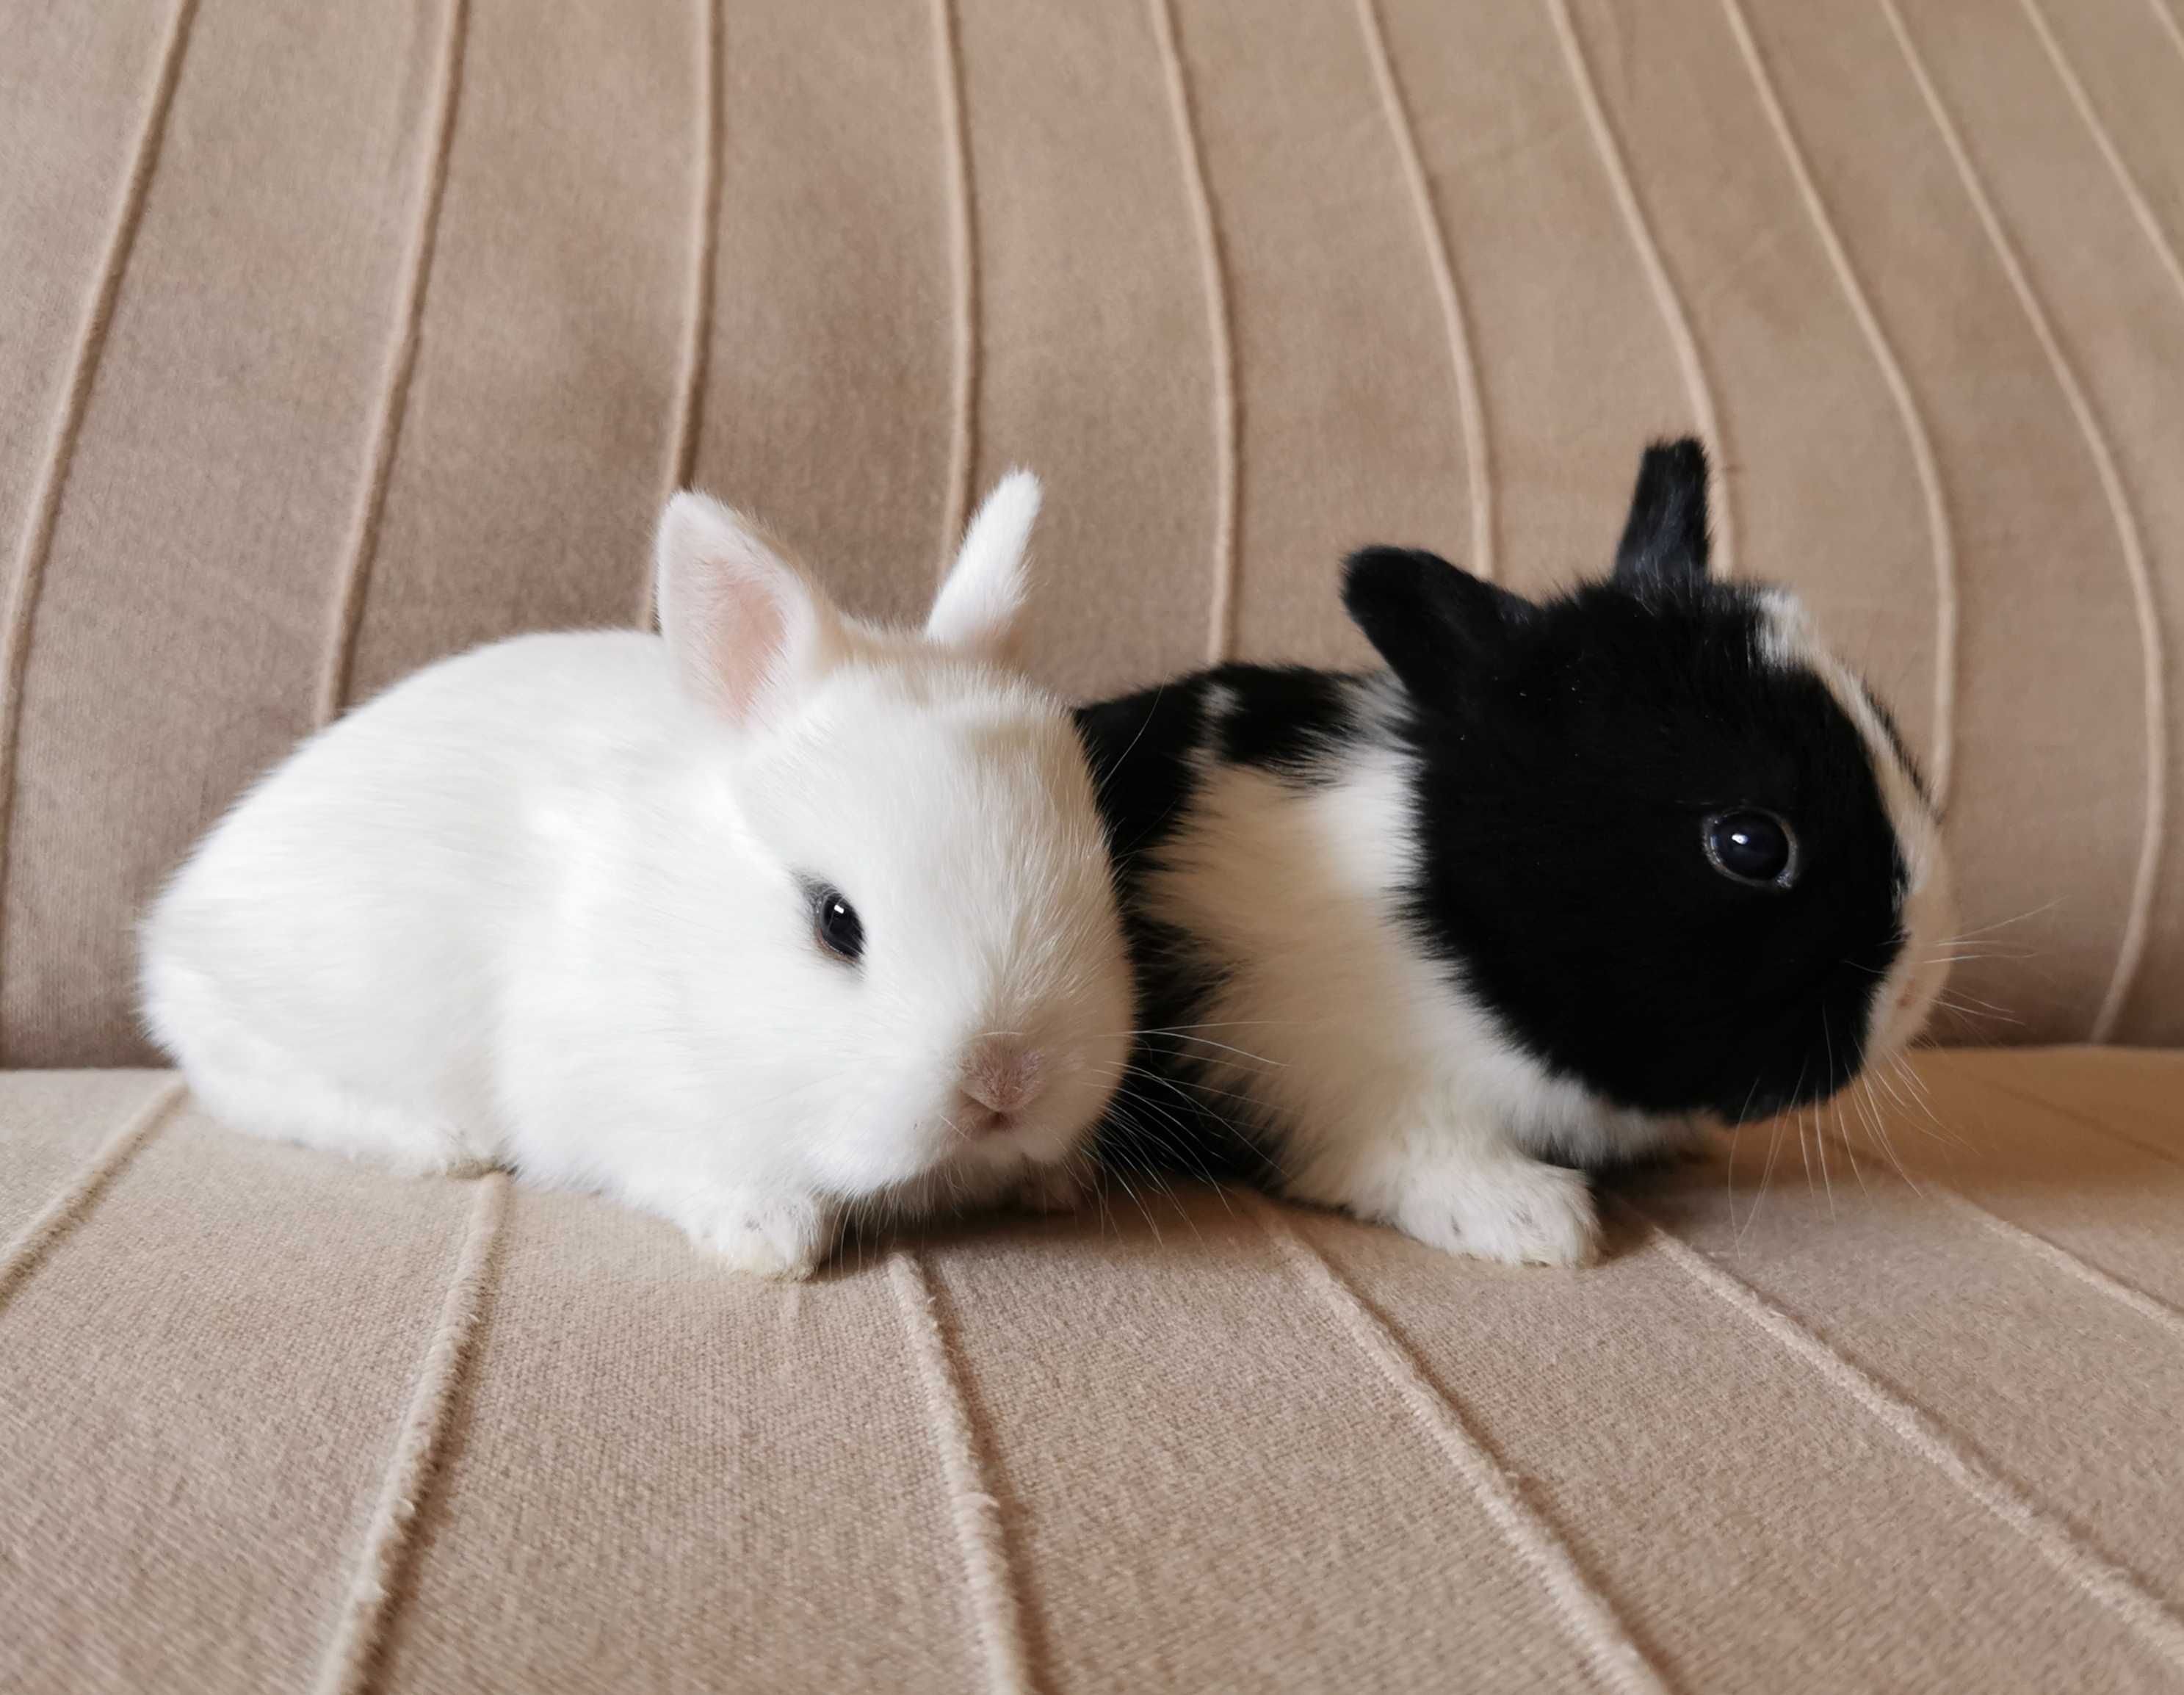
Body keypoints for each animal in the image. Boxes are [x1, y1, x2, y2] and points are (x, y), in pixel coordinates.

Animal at [140, 469, 1127, 1275]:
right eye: (834, 921)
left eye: (1101, 881)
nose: (1008, 1082)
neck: (683, 935)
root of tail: (177, 925)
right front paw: (769, 1235)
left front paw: (1058, 1180)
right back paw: (440, 1142)